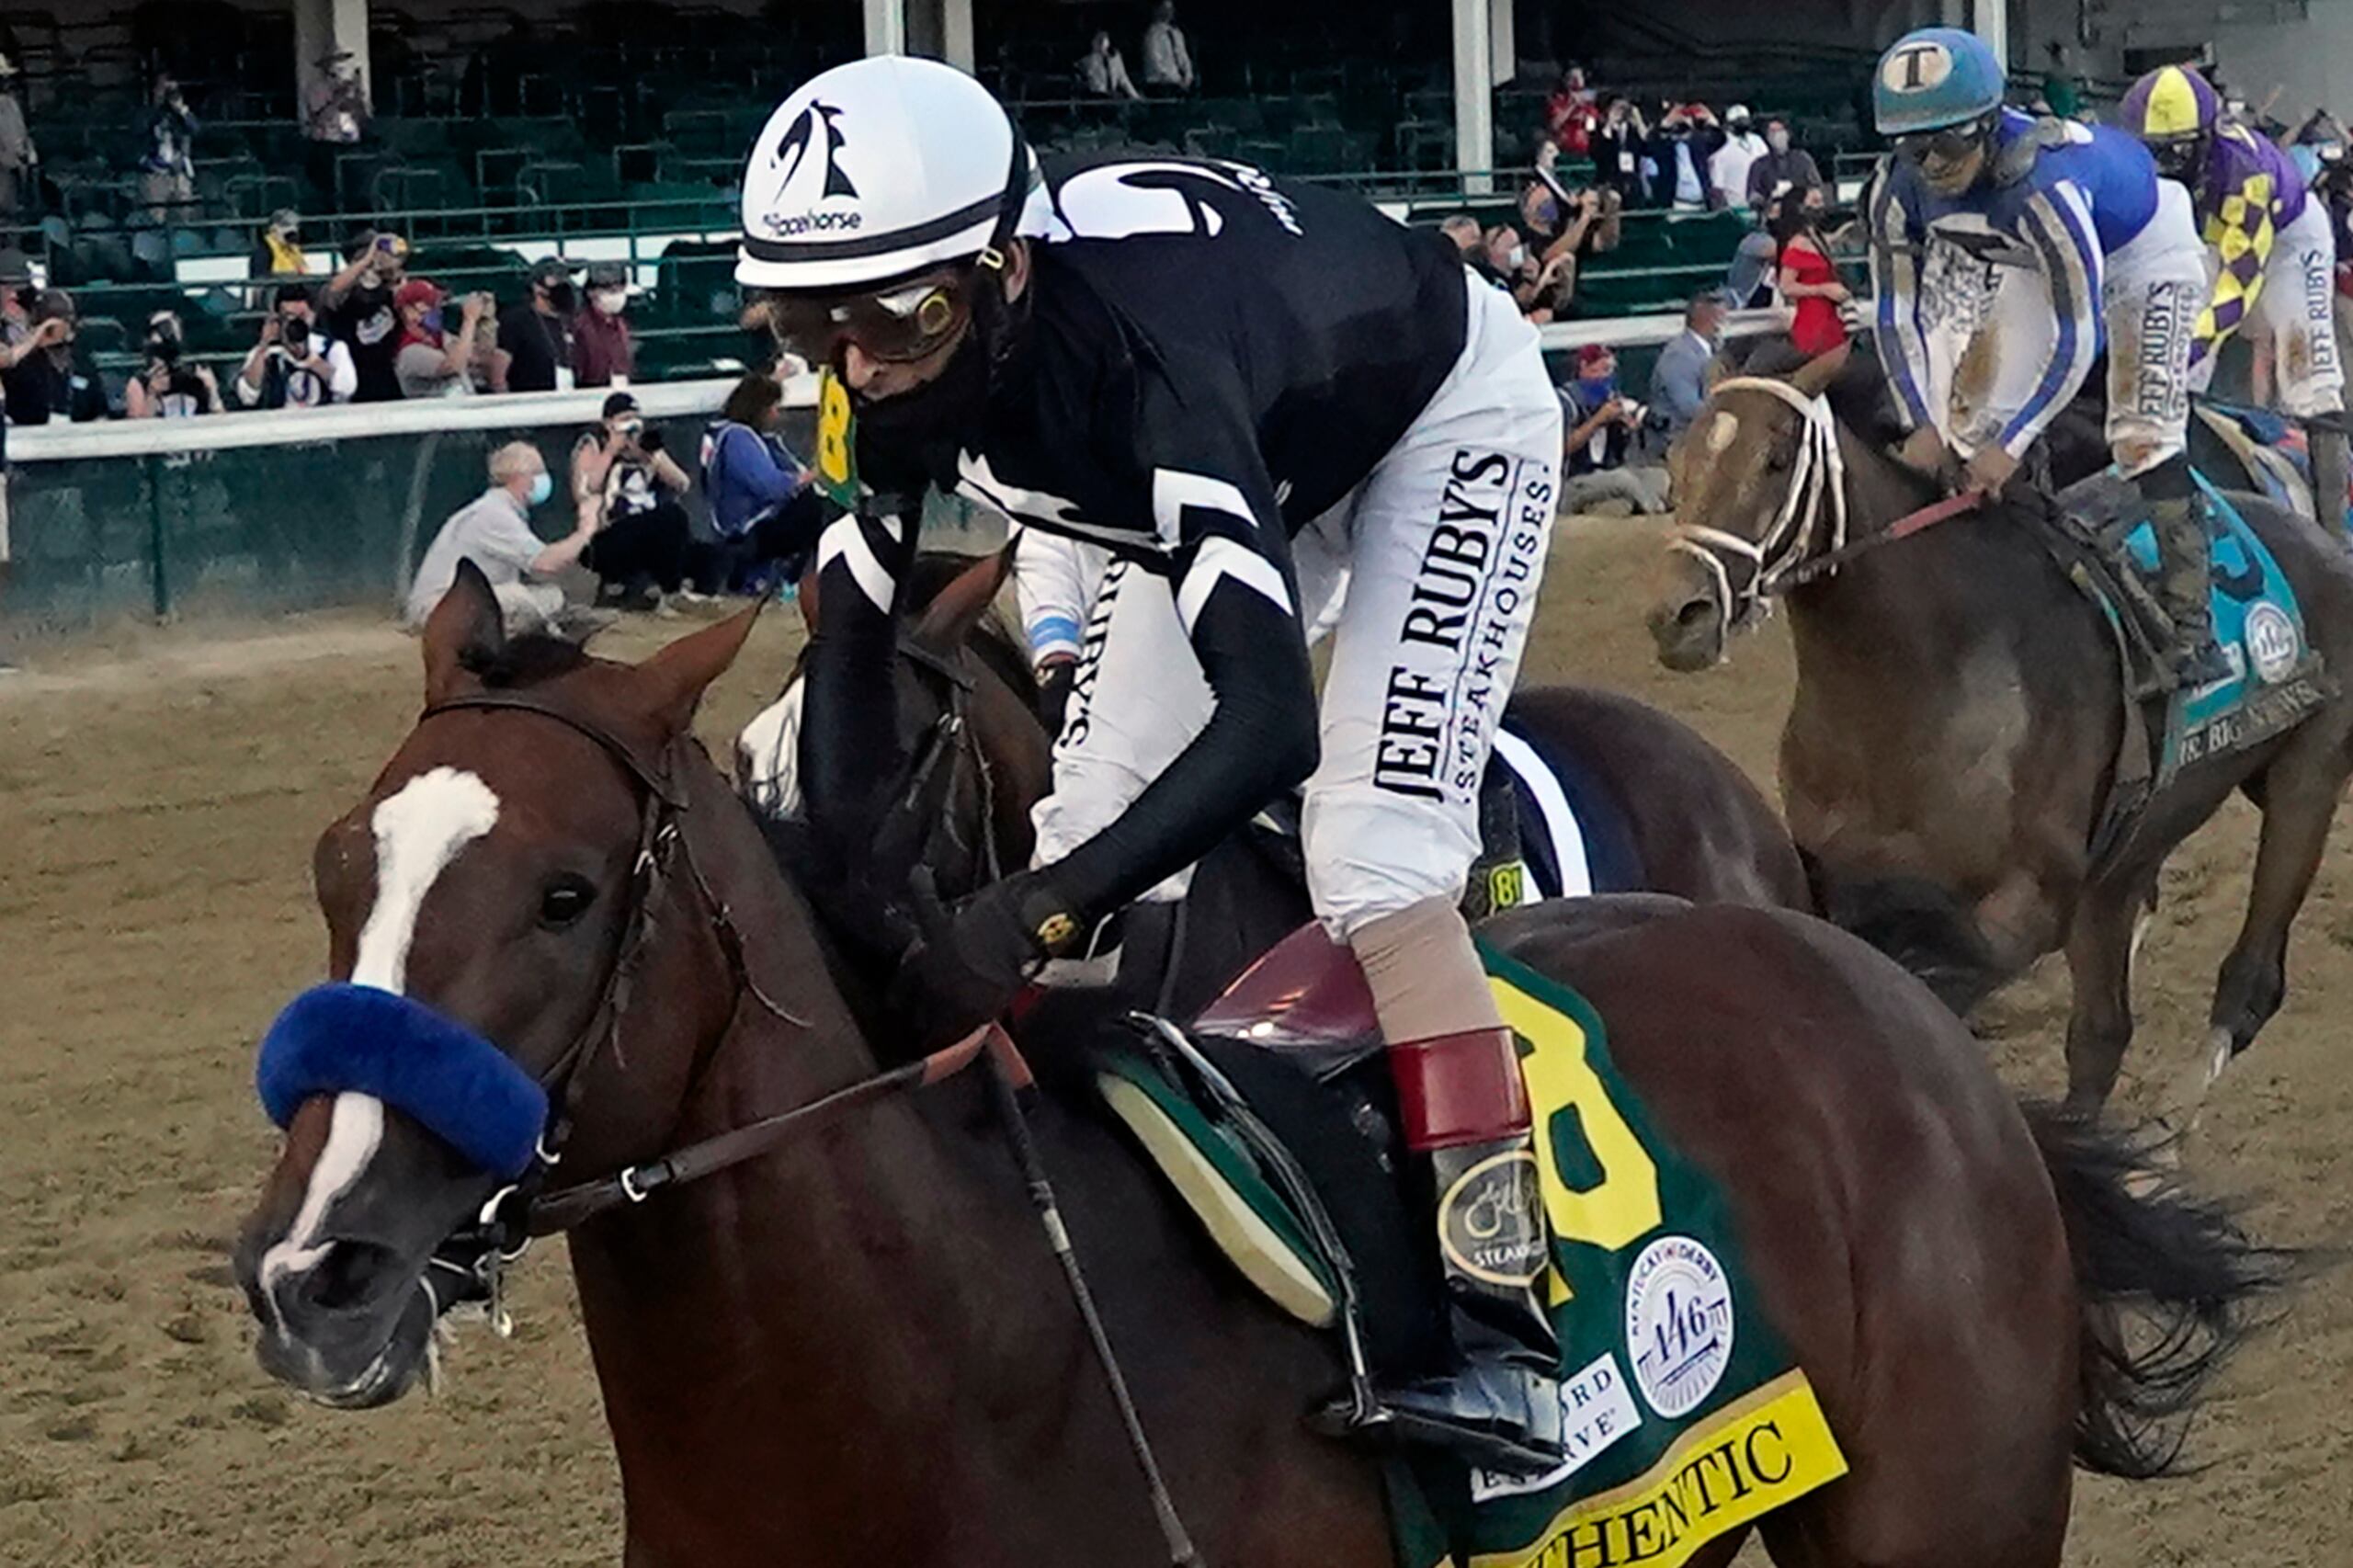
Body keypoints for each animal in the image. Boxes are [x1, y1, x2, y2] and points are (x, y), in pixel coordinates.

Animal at [1647, 353, 2353, 1111]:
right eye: (1676, 459)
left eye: (1776, 460)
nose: (1677, 613)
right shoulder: (1847, 883)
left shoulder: (2028, 906)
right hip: (2129, 854)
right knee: (2103, 1031)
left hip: (2304, 782)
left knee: (2250, 980)